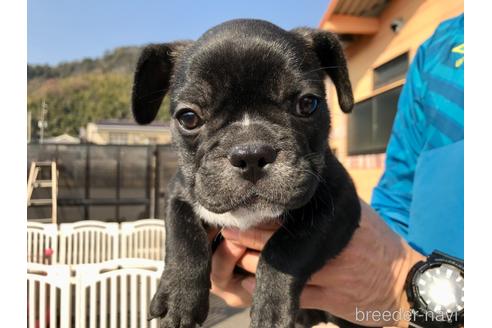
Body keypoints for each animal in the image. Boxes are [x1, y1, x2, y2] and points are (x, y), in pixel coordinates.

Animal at [133, 19, 364, 328]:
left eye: (307, 104)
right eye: (188, 118)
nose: (252, 154)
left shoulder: (339, 203)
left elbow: (290, 244)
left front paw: (271, 307)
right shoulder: (179, 193)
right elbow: (184, 238)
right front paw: (179, 298)